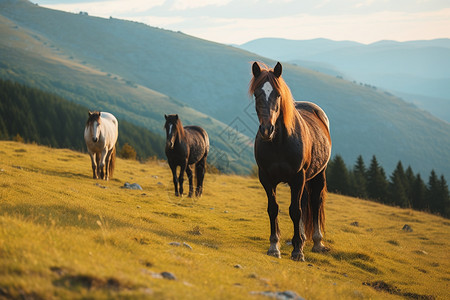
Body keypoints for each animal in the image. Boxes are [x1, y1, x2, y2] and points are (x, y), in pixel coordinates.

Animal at [250, 62, 330, 262]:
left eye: (278, 94)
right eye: (256, 94)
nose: (267, 130)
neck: (279, 143)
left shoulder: (297, 177)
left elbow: (295, 211)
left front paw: (298, 251)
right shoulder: (266, 178)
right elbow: (273, 209)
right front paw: (274, 246)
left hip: (318, 175)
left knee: (315, 202)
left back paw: (317, 242)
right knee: (304, 201)